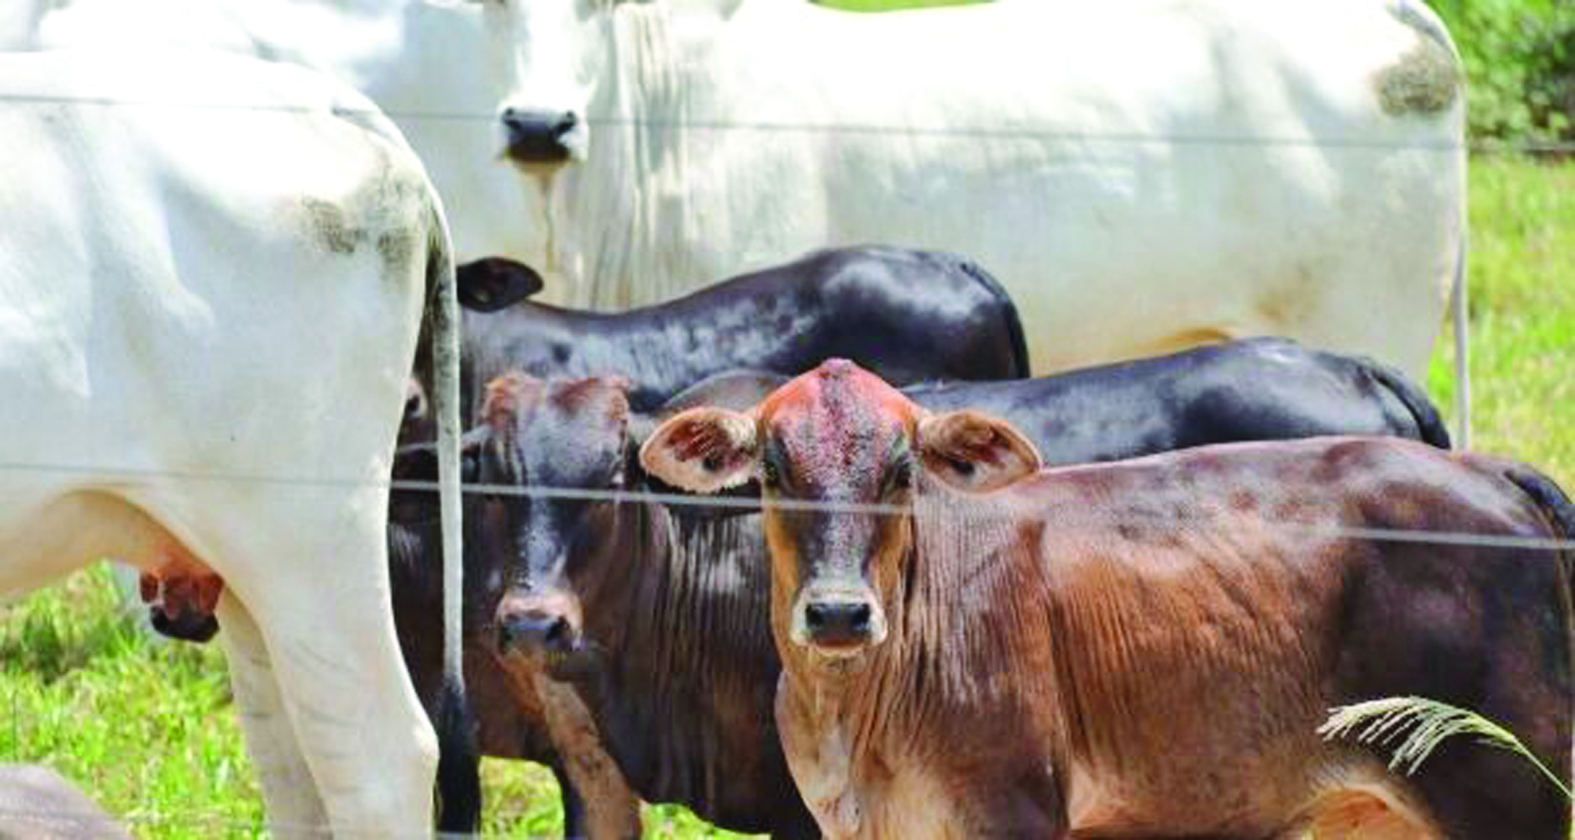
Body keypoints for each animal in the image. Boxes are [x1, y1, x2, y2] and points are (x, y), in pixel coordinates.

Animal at [642, 359, 1575, 838]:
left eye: (901, 470)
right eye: (772, 469)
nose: (838, 613)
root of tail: (1486, 470)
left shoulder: (1013, 817)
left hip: (1511, 795)